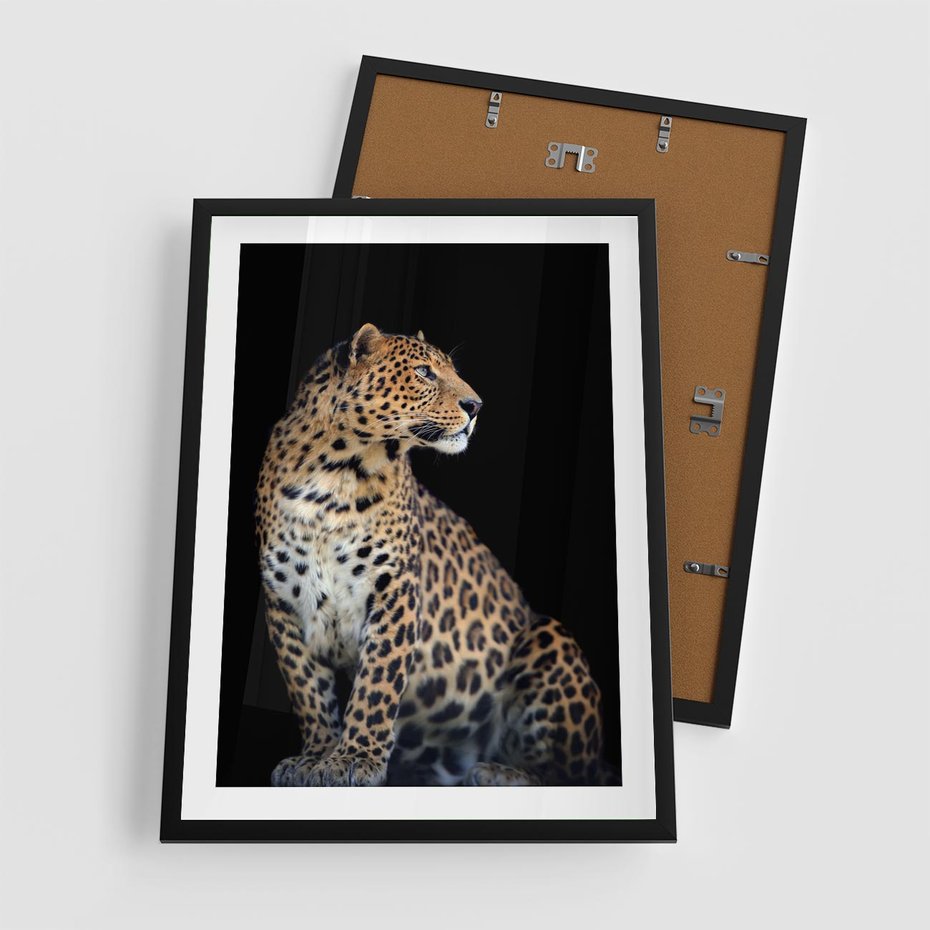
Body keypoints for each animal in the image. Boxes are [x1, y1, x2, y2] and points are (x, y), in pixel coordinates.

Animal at [255, 323, 612, 787]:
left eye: (452, 371)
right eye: (424, 372)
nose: (476, 406)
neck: (334, 474)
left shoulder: (394, 589)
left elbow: (376, 683)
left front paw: (354, 760)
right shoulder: (283, 601)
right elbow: (307, 688)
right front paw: (315, 756)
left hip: (549, 636)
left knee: (571, 772)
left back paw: (499, 773)